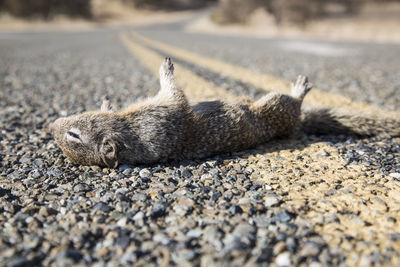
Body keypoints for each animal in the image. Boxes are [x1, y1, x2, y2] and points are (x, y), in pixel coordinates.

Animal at [49, 57, 400, 169]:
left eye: (73, 134)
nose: (52, 125)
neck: (126, 126)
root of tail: (297, 125)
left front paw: (106, 102)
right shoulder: (162, 116)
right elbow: (175, 94)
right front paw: (166, 68)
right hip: (275, 106)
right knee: (293, 102)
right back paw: (300, 87)